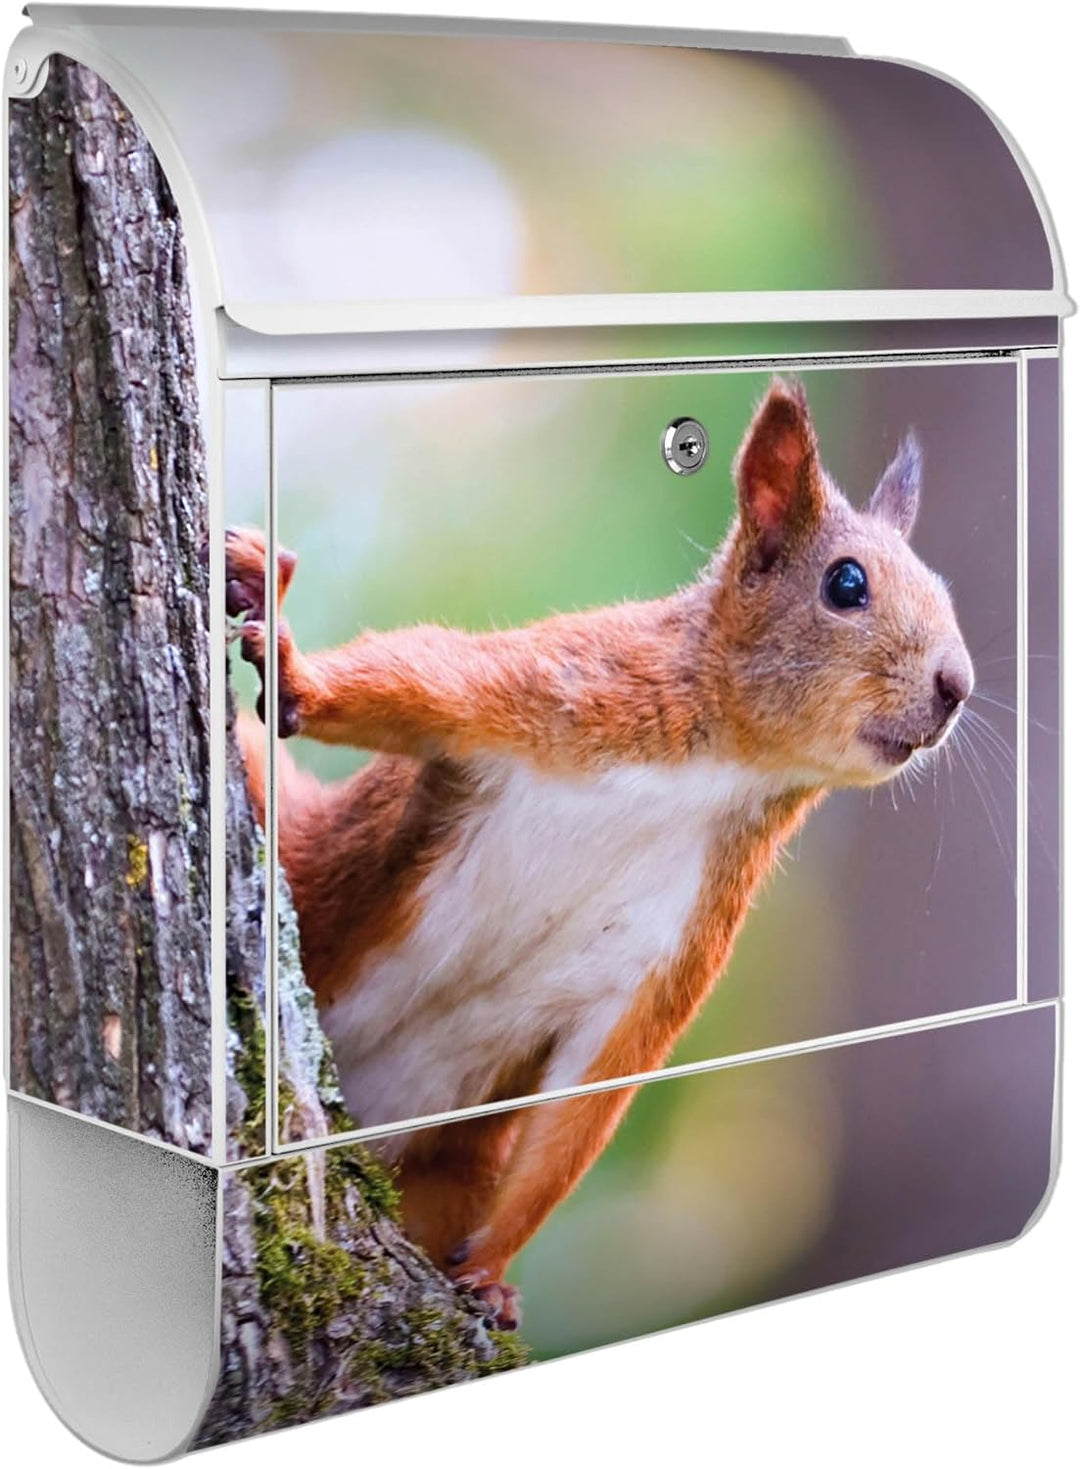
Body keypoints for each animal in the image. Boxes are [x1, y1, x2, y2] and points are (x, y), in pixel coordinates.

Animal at [225, 378, 973, 1330]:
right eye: (847, 584)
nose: (957, 687)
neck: (724, 768)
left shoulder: (678, 937)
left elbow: (590, 1096)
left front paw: (490, 1269)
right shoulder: (565, 686)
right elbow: (422, 678)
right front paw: (295, 672)